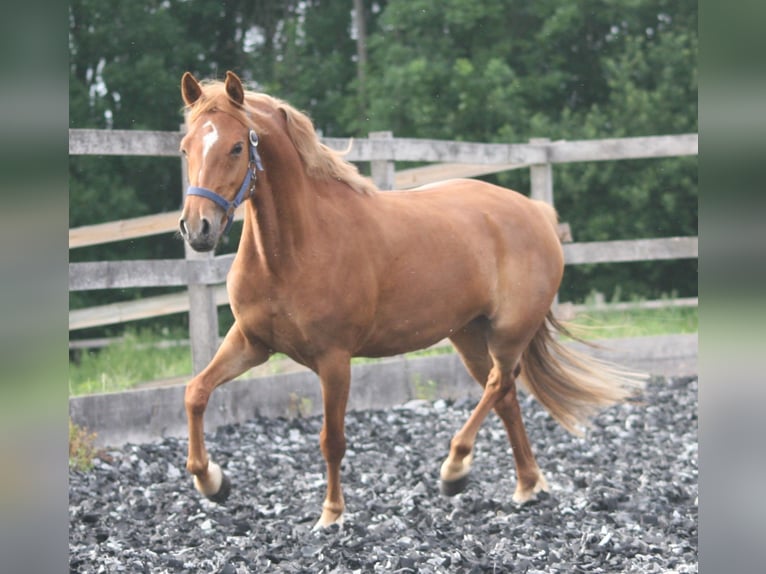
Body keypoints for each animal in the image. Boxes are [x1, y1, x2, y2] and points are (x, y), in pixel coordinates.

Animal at [177, 72, 644, 532]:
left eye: (237, 147)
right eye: (185, 148)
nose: (197, 228)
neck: (293, 251)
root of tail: (536, 212)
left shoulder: (334, 359)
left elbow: (332, 440)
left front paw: (331, 514)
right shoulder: (252, 342)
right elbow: (195, 391)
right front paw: (212, 481)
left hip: (509, 332)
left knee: (498, 384)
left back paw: (455, 469)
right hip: (469, 336)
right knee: (506, 395)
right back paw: (527, 485)